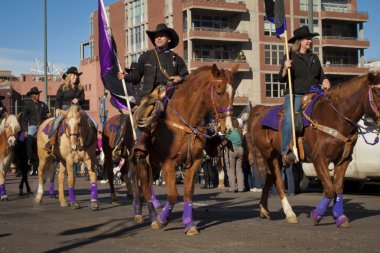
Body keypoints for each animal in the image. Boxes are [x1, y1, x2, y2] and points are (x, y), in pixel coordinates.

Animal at [131, 63, 238, 235]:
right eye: (219, 91)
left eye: (233, 92)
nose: (228, 127)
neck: (186, 119)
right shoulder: (168, 163)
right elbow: (173, 195)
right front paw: (162, 220)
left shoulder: (195, 162)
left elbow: (188, 192)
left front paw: (189, 224)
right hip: (141, 162)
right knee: (144, 189)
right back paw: (151, 218)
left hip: (153, 164)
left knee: (146, 187)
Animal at [245, 71, 380, 227]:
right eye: (377, 92)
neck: (335, 117)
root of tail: (260, 110)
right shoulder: (319, 158)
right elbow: (329, 189)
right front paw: (317, 214)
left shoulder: (344, 159)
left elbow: (338, 187)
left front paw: (339, 216)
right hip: (270, 155)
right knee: (278, 182)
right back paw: (289, 213)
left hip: (277, 157)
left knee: (269, 178)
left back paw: (264, 210)